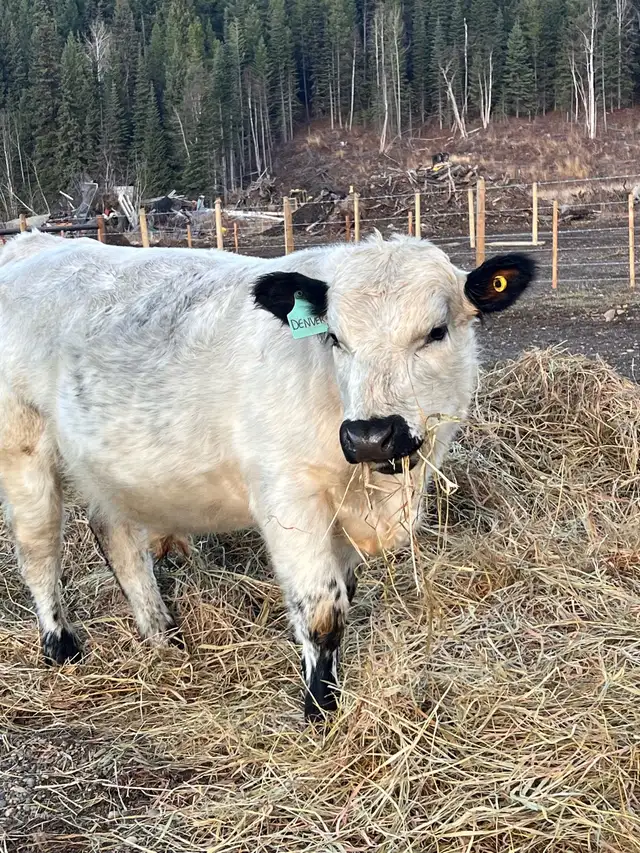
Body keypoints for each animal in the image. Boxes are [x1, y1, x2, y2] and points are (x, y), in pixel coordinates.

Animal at [0, 231, 535, 720]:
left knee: (119, 541)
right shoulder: (289, 499)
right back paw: (60, 644)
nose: (369, 436)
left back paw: (163, 636)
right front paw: (320, 707)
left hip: (109, 471)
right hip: (23, 452)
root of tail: (31, 243)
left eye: (436, 332)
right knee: (39, 551)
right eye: (334, 337)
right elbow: (322, 612)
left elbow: (344, 593)